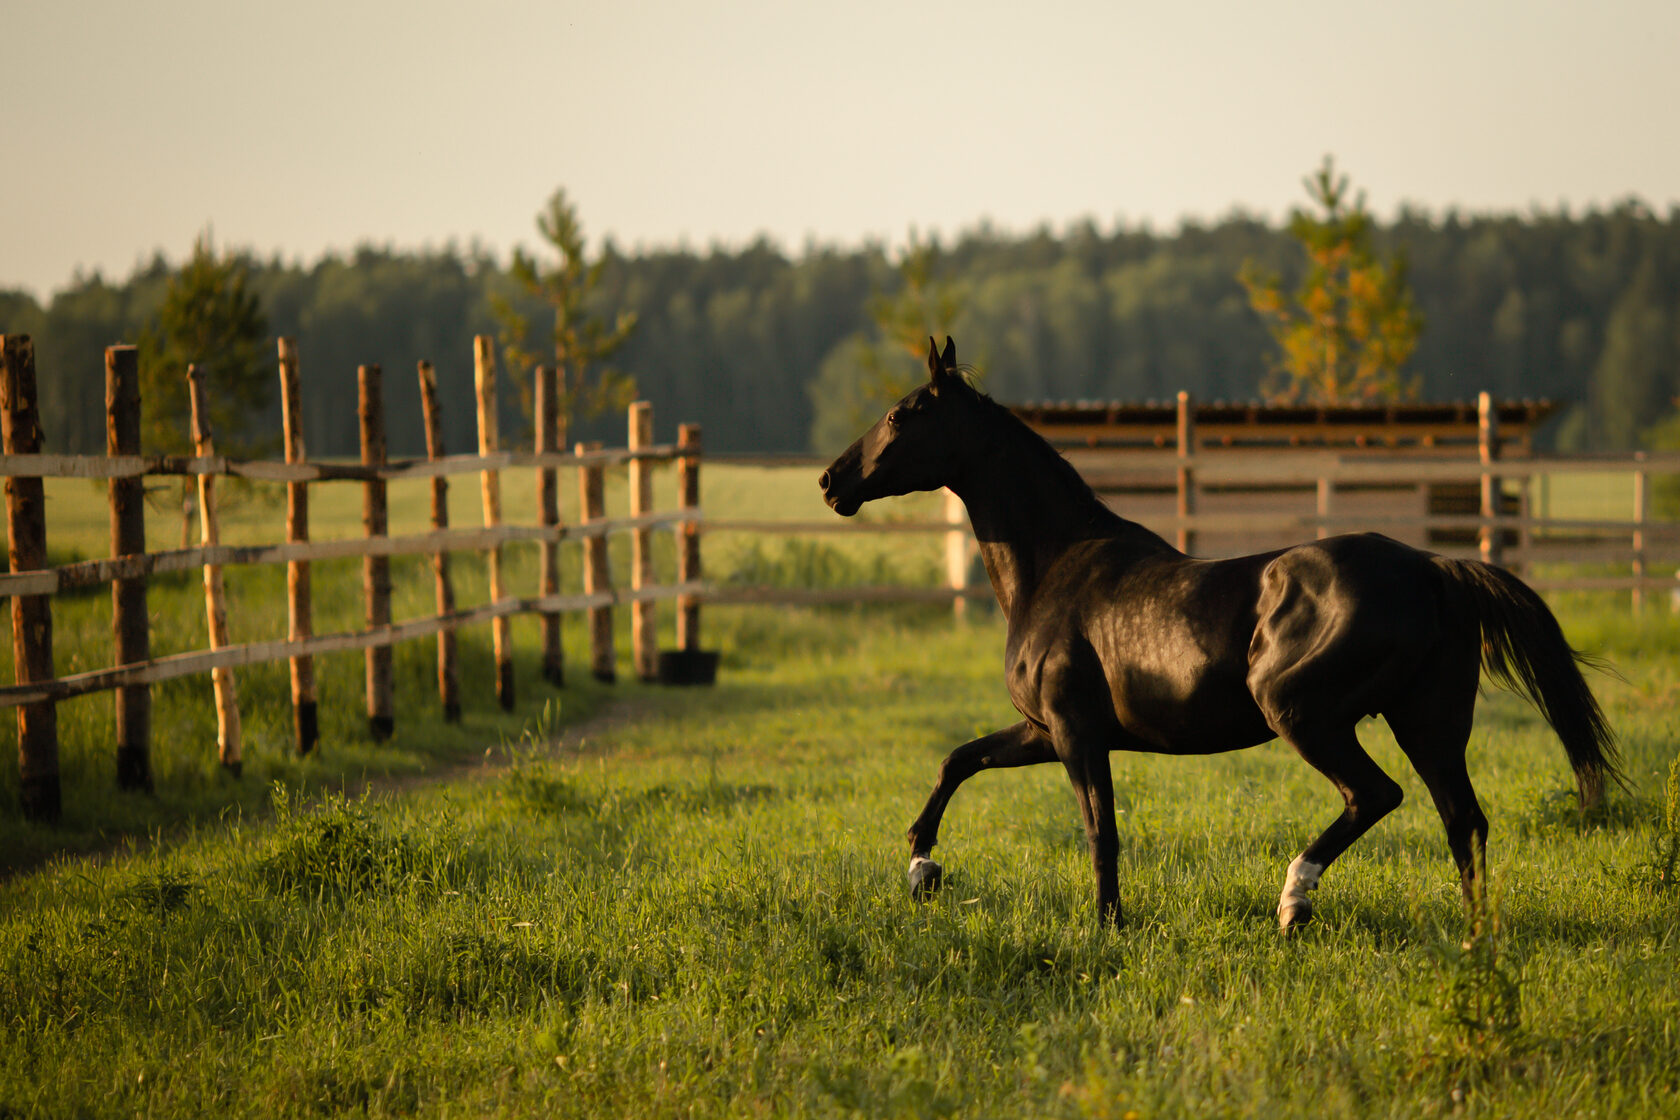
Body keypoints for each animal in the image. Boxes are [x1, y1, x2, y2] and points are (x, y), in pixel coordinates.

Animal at [819, 337, 1619, 933]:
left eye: (901, 414)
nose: (831, 482)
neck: (1057, 565)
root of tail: (1432, 568)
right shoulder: (1047, 731)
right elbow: (958, 760)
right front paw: (922, 870)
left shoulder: (1075, 733)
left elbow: (1100, 830)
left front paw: (1106, 926)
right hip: (1427, 723)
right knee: (1464, 821)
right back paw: (1475, 935)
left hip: (1303, 713)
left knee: (1376, 795)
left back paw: (1294, 902)